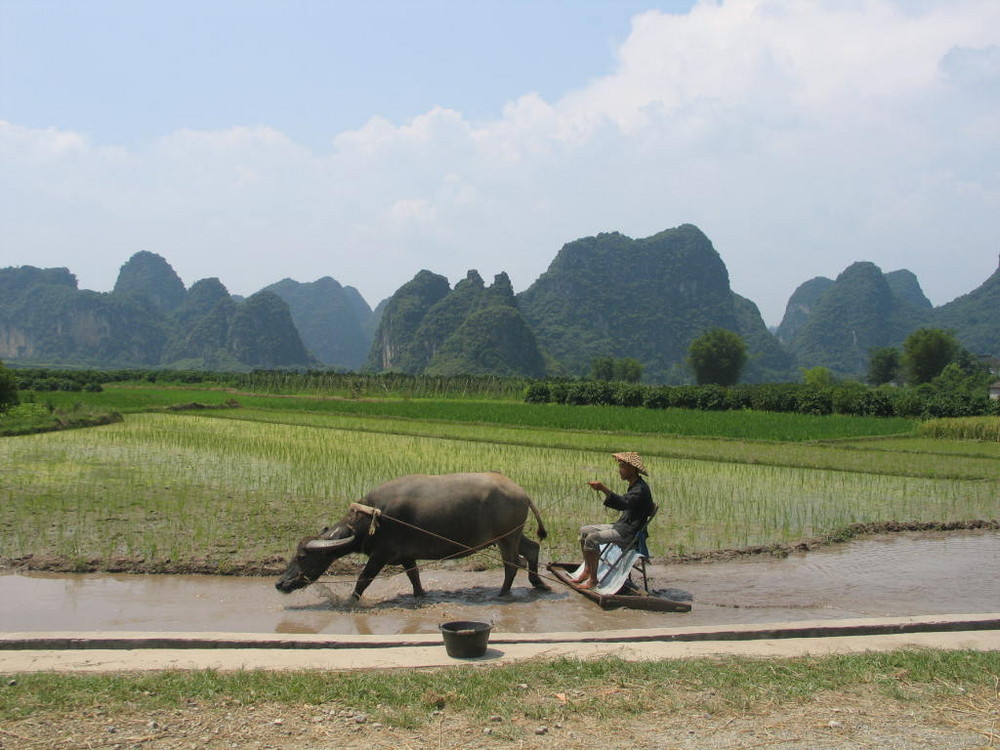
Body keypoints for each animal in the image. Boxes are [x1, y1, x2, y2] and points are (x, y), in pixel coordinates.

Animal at [278, 472, 552, 604]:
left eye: (302, 557)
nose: (280, 584)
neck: (373, 519)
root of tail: (522, 493)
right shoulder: (406, 556)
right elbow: (414, 577)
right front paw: (421, 595)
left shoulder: (381, 555)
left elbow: (363, 580)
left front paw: (349, 601)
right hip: (511, 535)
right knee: (531, 550)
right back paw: (539, 584)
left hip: (507, 537)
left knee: (512, 563)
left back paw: (503, 594)